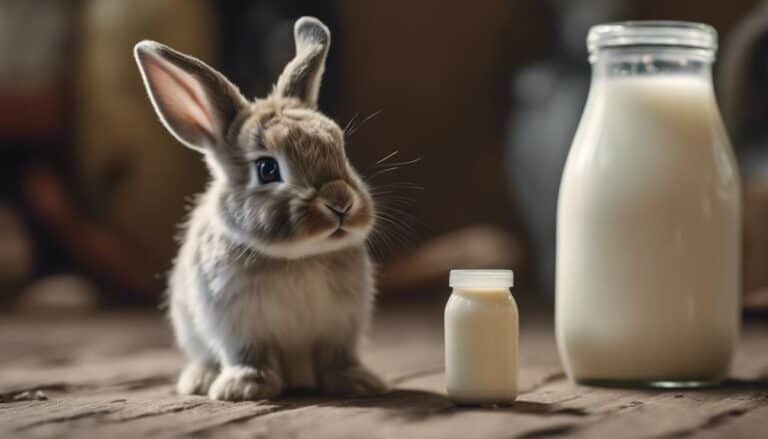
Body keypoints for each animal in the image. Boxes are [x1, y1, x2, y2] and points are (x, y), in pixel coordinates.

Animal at [133, 16, 388, 401]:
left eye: (340, 148)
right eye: (267, 169)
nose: (341, 202)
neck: (297, 257)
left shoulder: (340, 326)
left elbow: (337, 357)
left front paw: (358, 382)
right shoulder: (238, 325)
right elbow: (249, 354)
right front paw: (244, 387)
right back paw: (201, 380)